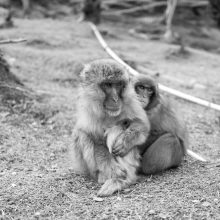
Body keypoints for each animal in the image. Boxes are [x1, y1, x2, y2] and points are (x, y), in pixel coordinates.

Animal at [71, 58, 150, 196]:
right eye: (108, 85)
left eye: (118, 85)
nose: (115, 99)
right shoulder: (89, 109)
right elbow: (92, 136)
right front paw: (113, 170)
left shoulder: (131, 100)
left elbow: (141, 124)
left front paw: (125, 142)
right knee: (80, 134)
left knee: (121, 125)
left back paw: (124, 180)